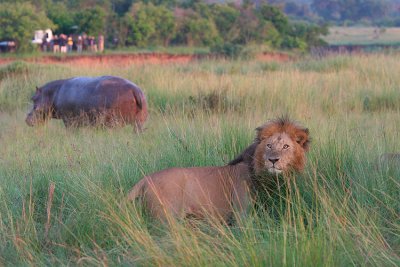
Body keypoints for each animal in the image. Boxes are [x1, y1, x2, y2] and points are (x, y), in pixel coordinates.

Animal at [128, 118, 310, 223]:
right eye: (269, 146)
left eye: (286, 146)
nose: (273, 160)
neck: (270, 179)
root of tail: (145, 179)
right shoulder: (241, 214)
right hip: (166, 219)